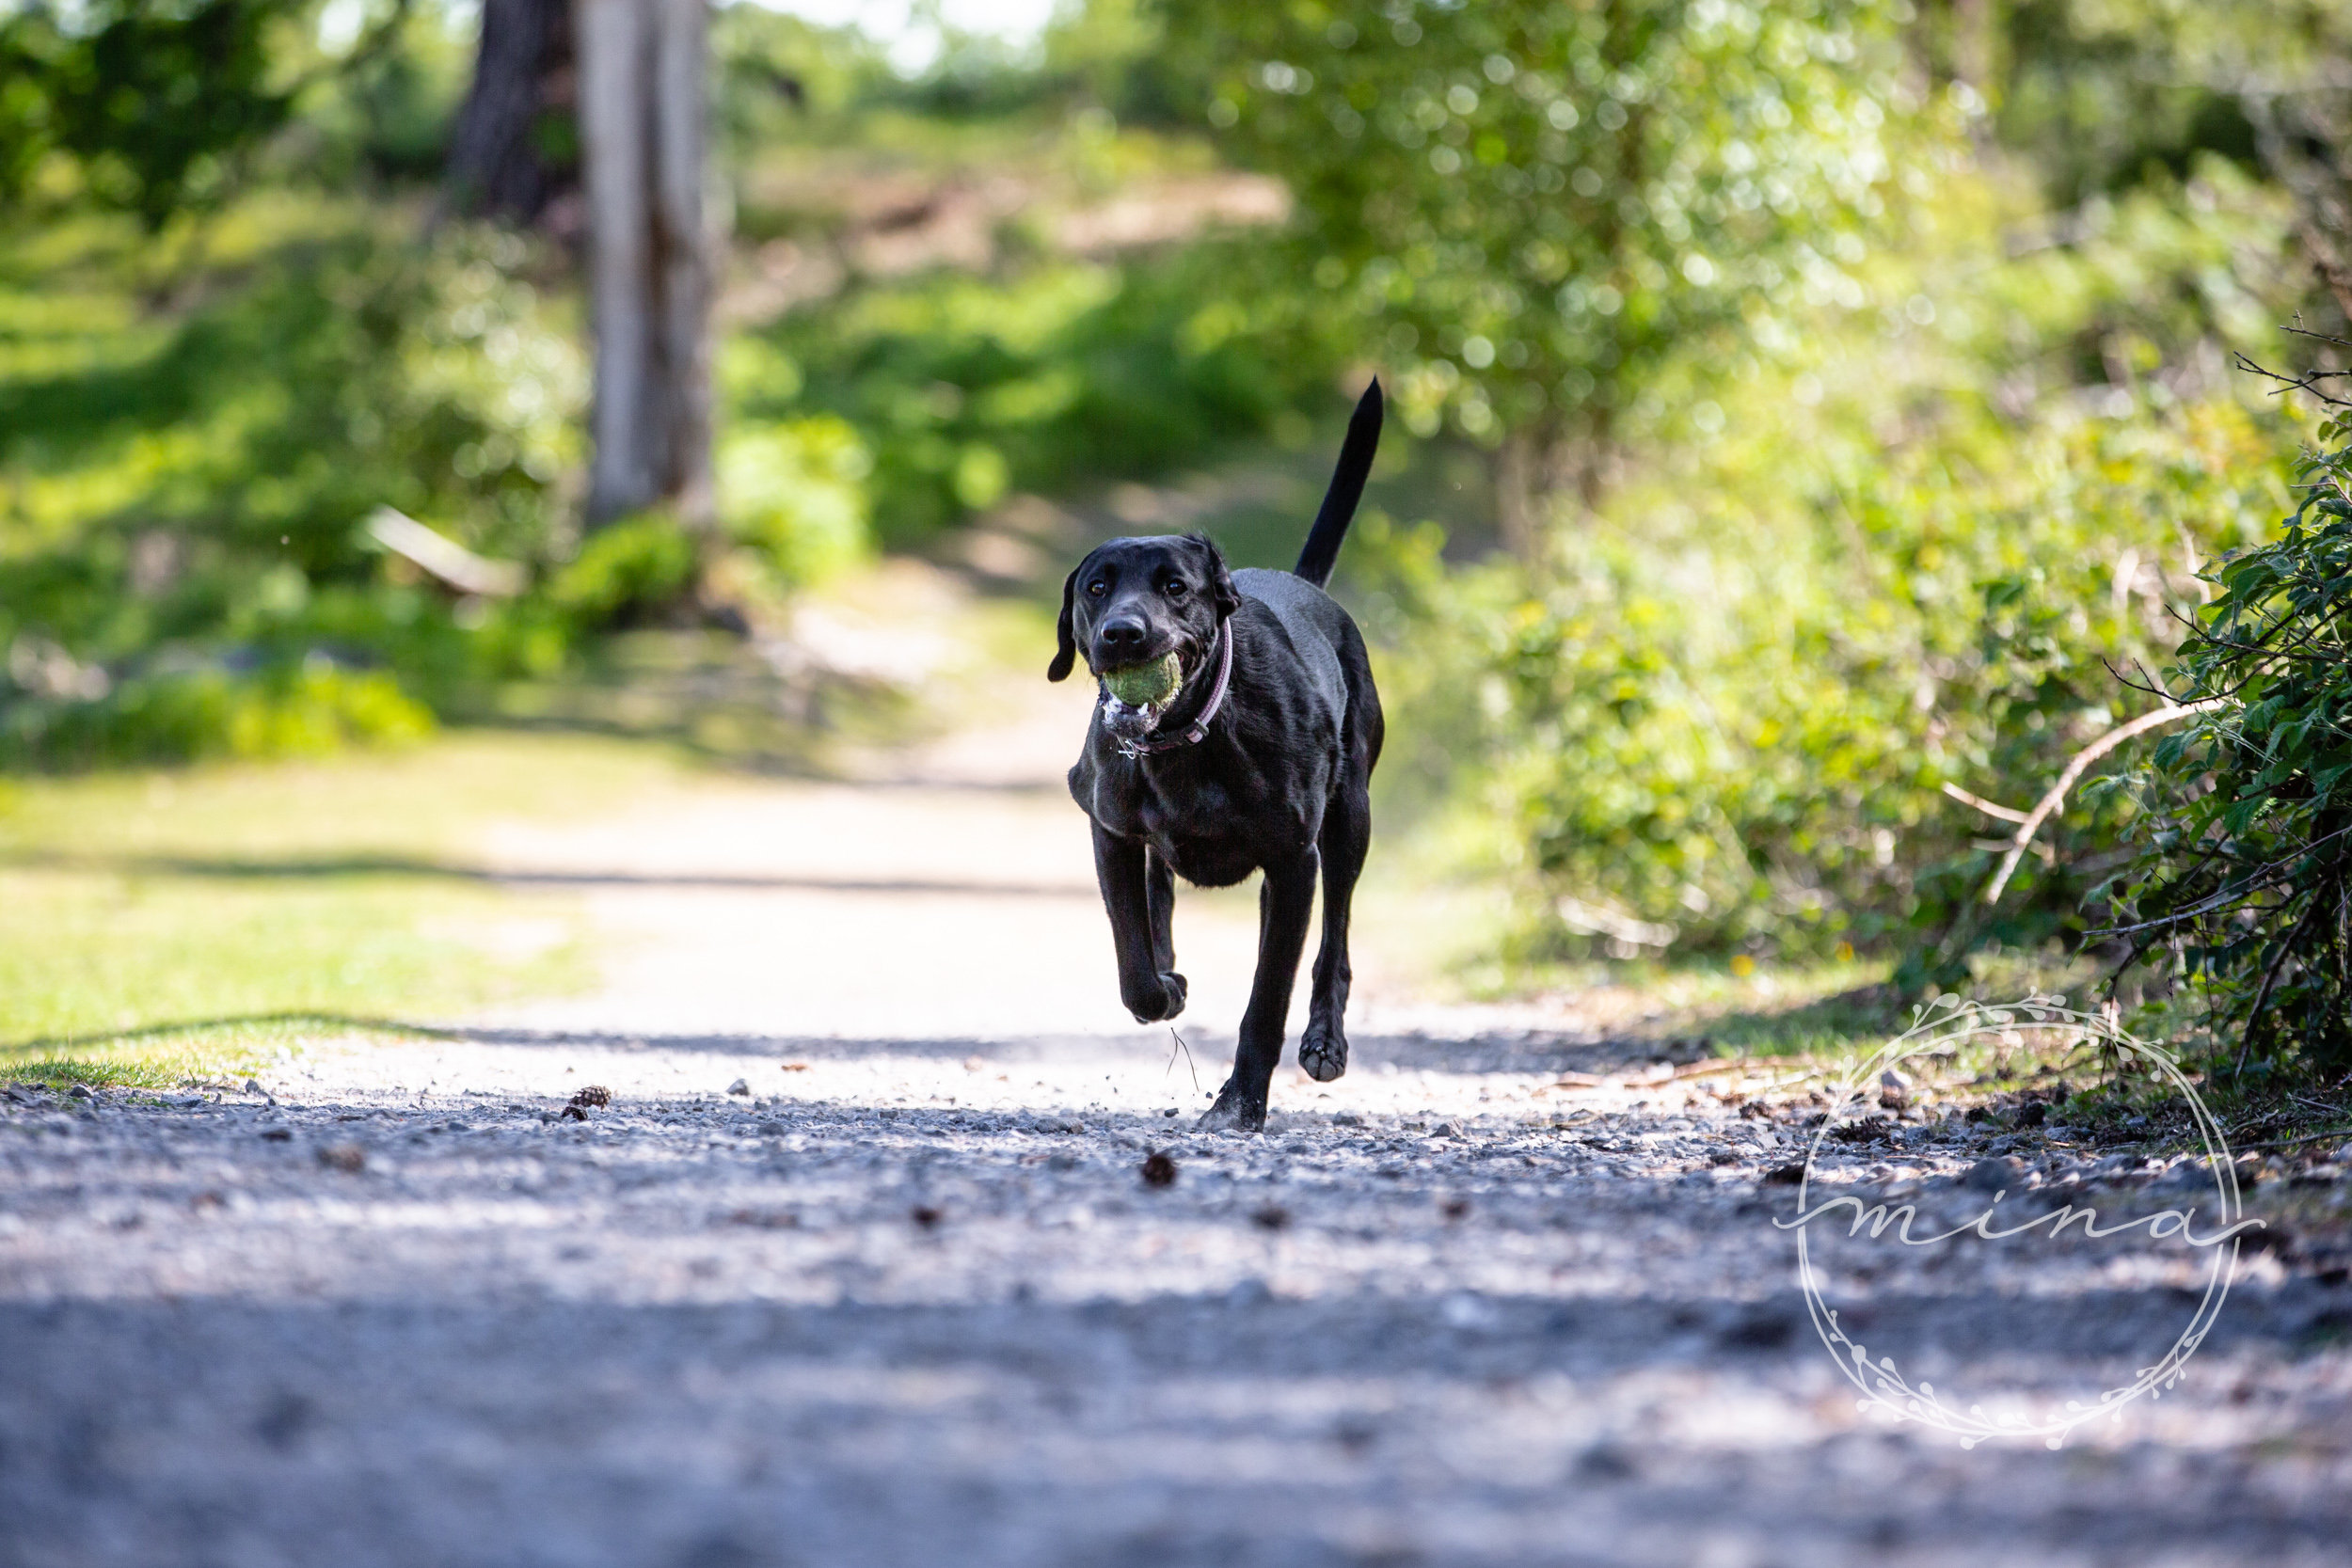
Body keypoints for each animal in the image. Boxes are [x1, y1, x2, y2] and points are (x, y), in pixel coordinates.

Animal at [1049, 385, 1374, 1132]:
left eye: (1175, 587)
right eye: (1097, 587)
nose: (1122, 634)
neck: (1188, 741)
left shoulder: (1294, 861)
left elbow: (1268, 996)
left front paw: (1238, 1105)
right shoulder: (1109, 829)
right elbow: (1134, 957)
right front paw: (1164, 987)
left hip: (1350, 820)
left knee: (1335, 938)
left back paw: (1325, 1041)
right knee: (1159, 893)